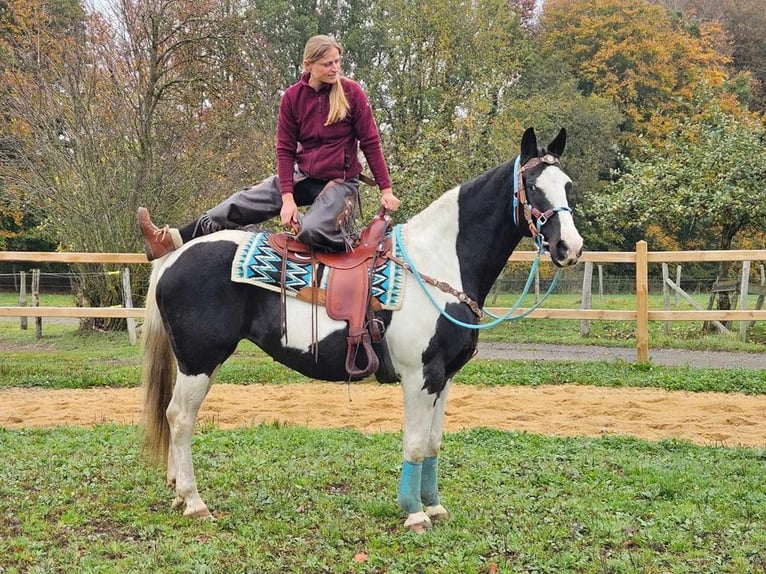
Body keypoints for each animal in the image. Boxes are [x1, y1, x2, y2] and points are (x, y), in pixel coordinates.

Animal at [142, 128, 584, 532]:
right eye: (532, 186)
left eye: (567, 186)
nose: (571, 248)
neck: (437, 262)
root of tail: (173, 257)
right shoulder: (420, 377)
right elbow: (415, 445)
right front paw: (414, 513)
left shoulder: (445, 378)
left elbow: (434, 443)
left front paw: (434, 506)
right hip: (199, 361)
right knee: (180, 418)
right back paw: (194, 501)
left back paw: (177, 492)